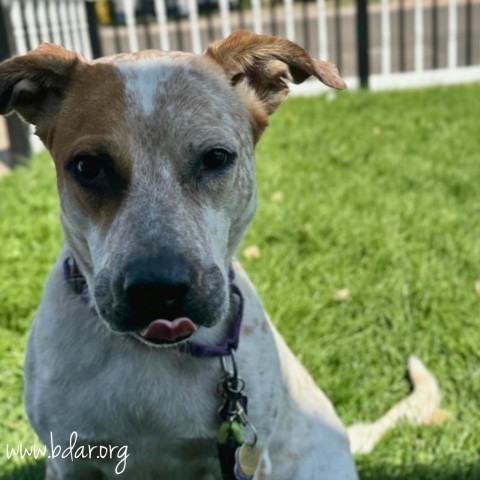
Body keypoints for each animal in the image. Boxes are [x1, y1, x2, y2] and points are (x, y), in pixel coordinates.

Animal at [0, 31, 440, 480]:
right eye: (87, 166)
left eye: (215, 157)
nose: (158, 290)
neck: (157, 355)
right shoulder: (68, 460)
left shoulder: (246, 457)